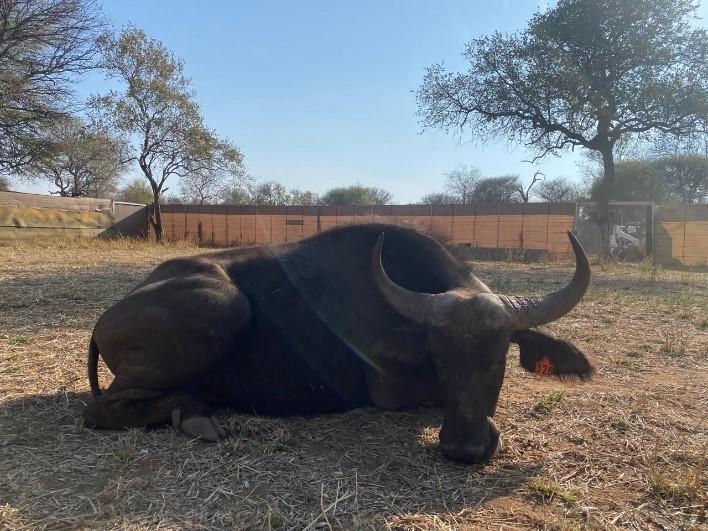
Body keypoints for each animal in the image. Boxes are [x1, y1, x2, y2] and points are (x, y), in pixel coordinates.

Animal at [84, 222, 594, 464]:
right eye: (440, 355)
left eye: (499, 355)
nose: (464, 449)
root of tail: (106, 319)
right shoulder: (389, 392)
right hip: (224, 306)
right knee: (100, 410)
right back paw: (194, 415)